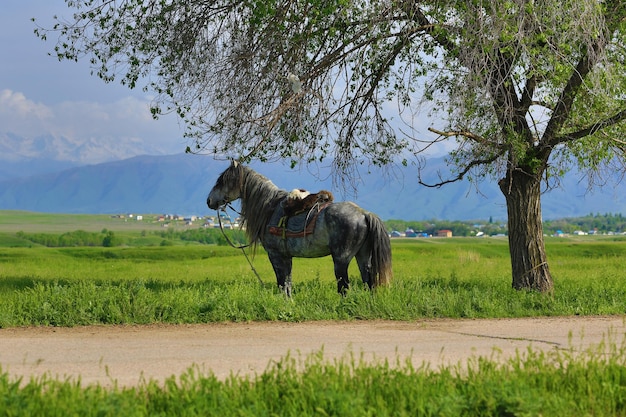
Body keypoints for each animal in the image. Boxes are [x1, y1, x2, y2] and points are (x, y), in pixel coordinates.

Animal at [207, 160, 392, 296]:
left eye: (222, 181)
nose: (209, 201)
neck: (270, 208)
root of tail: (363, 214)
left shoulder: (275, 255)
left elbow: (281, 282)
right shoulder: (286, 256)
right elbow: (288, 283)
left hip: (342, 259)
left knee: (344, 287)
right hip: (363, 256)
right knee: (368, 281)